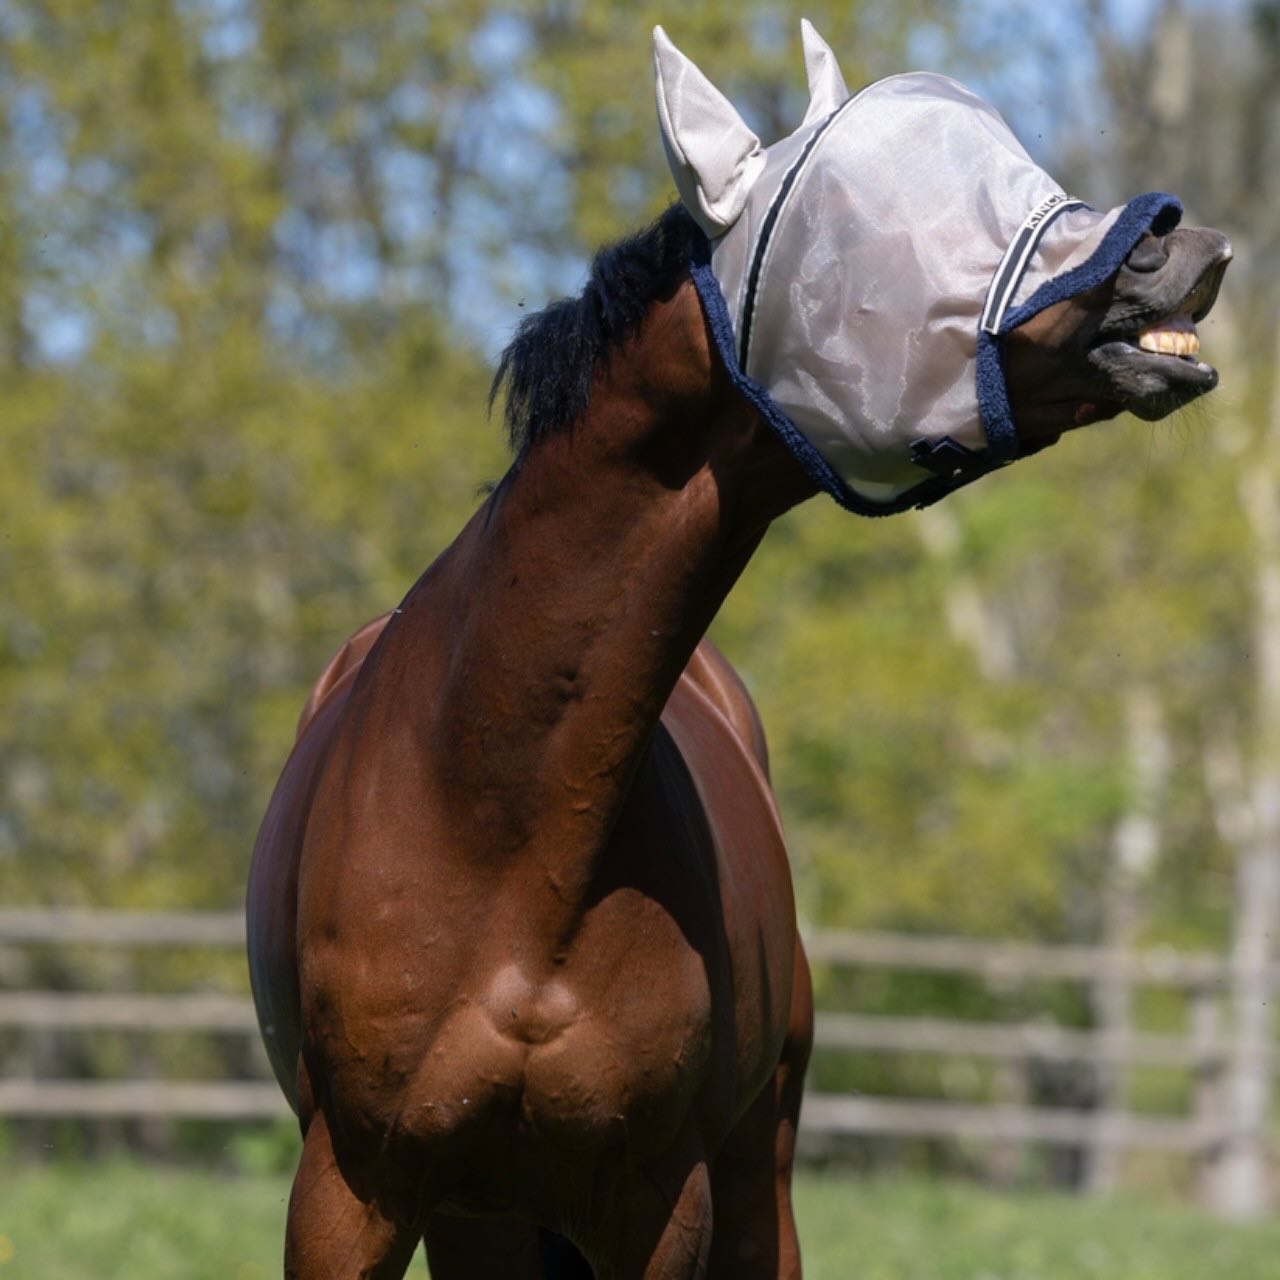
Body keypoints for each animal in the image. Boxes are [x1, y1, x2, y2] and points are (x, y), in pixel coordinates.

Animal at [246, 27, 1230, 1280]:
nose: (1178, 243)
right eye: (878, 214)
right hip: (484, 1218)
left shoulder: (656, 1202)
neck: (486, 807)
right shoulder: (351, 1193)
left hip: (747, 1165)